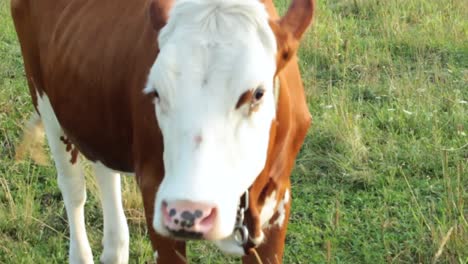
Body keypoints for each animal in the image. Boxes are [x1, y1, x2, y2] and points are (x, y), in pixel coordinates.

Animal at [11, 0, 314, 262]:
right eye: (156, 93)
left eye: (258, 94)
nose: (190, 213)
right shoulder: (155, 193)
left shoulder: (279, 200)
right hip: (44, 99)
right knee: (73, 188)